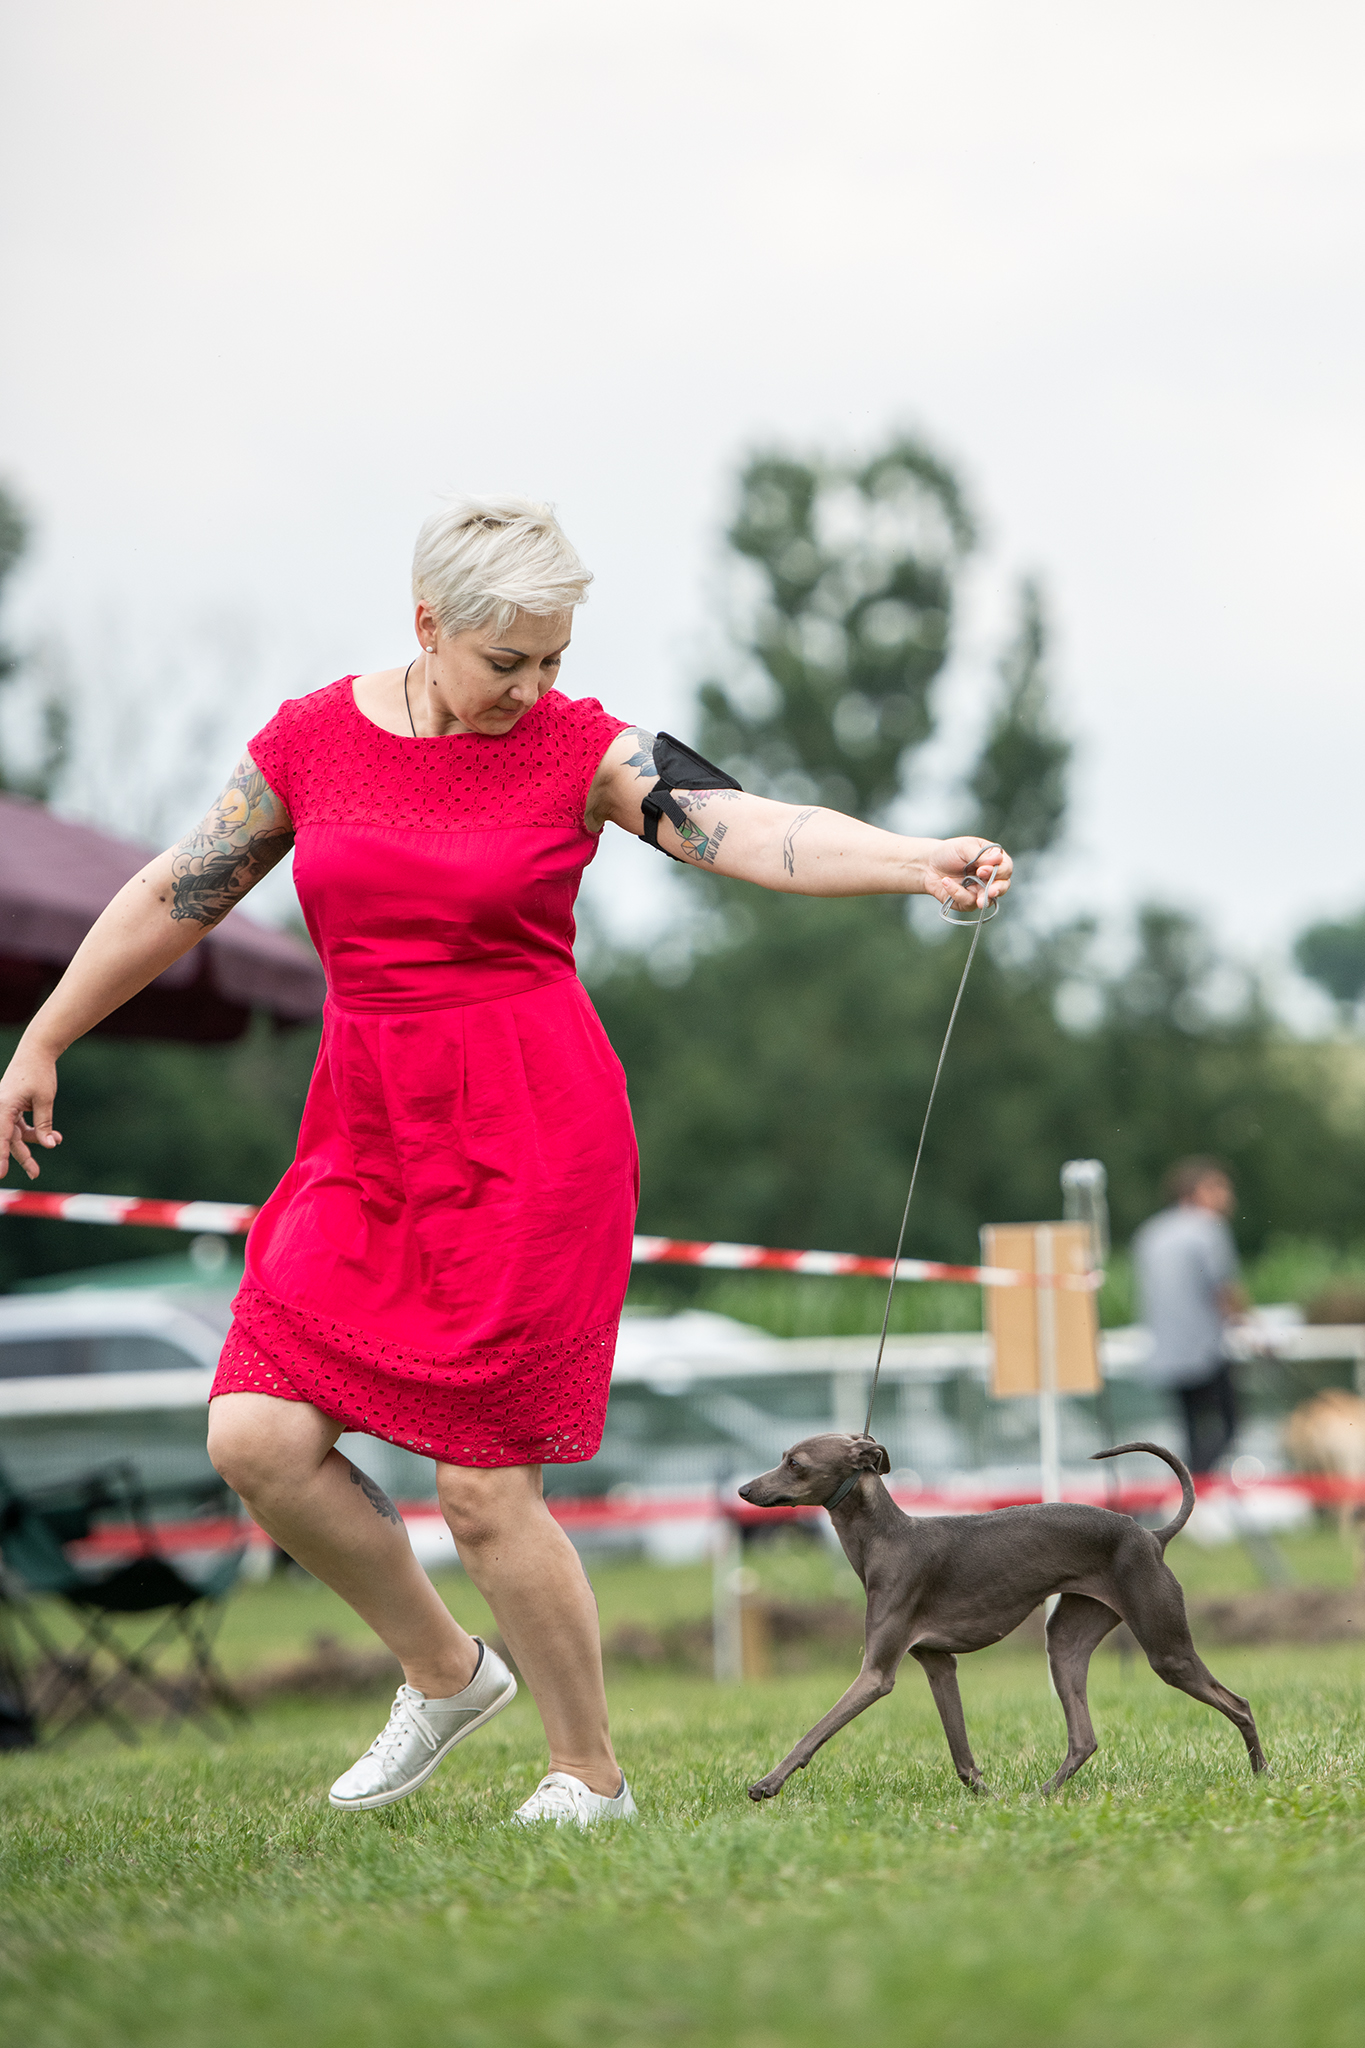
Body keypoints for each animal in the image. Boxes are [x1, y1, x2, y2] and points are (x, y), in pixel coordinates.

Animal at [738, 1434, 1266, 1798]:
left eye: (795, 1463)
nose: (743, 1490)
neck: (886, 1539)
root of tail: (1152, 1536)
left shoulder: (875, 1674)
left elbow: (814, 1732)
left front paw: (767, 1783)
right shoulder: (938, 1664)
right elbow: (961, 1754)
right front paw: (987, 1799)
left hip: (1166, 1647)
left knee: (1239, 1703)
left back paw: (1262, 1775)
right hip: (1067, 1640)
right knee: (1084, 1738)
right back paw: (1041, 1796)